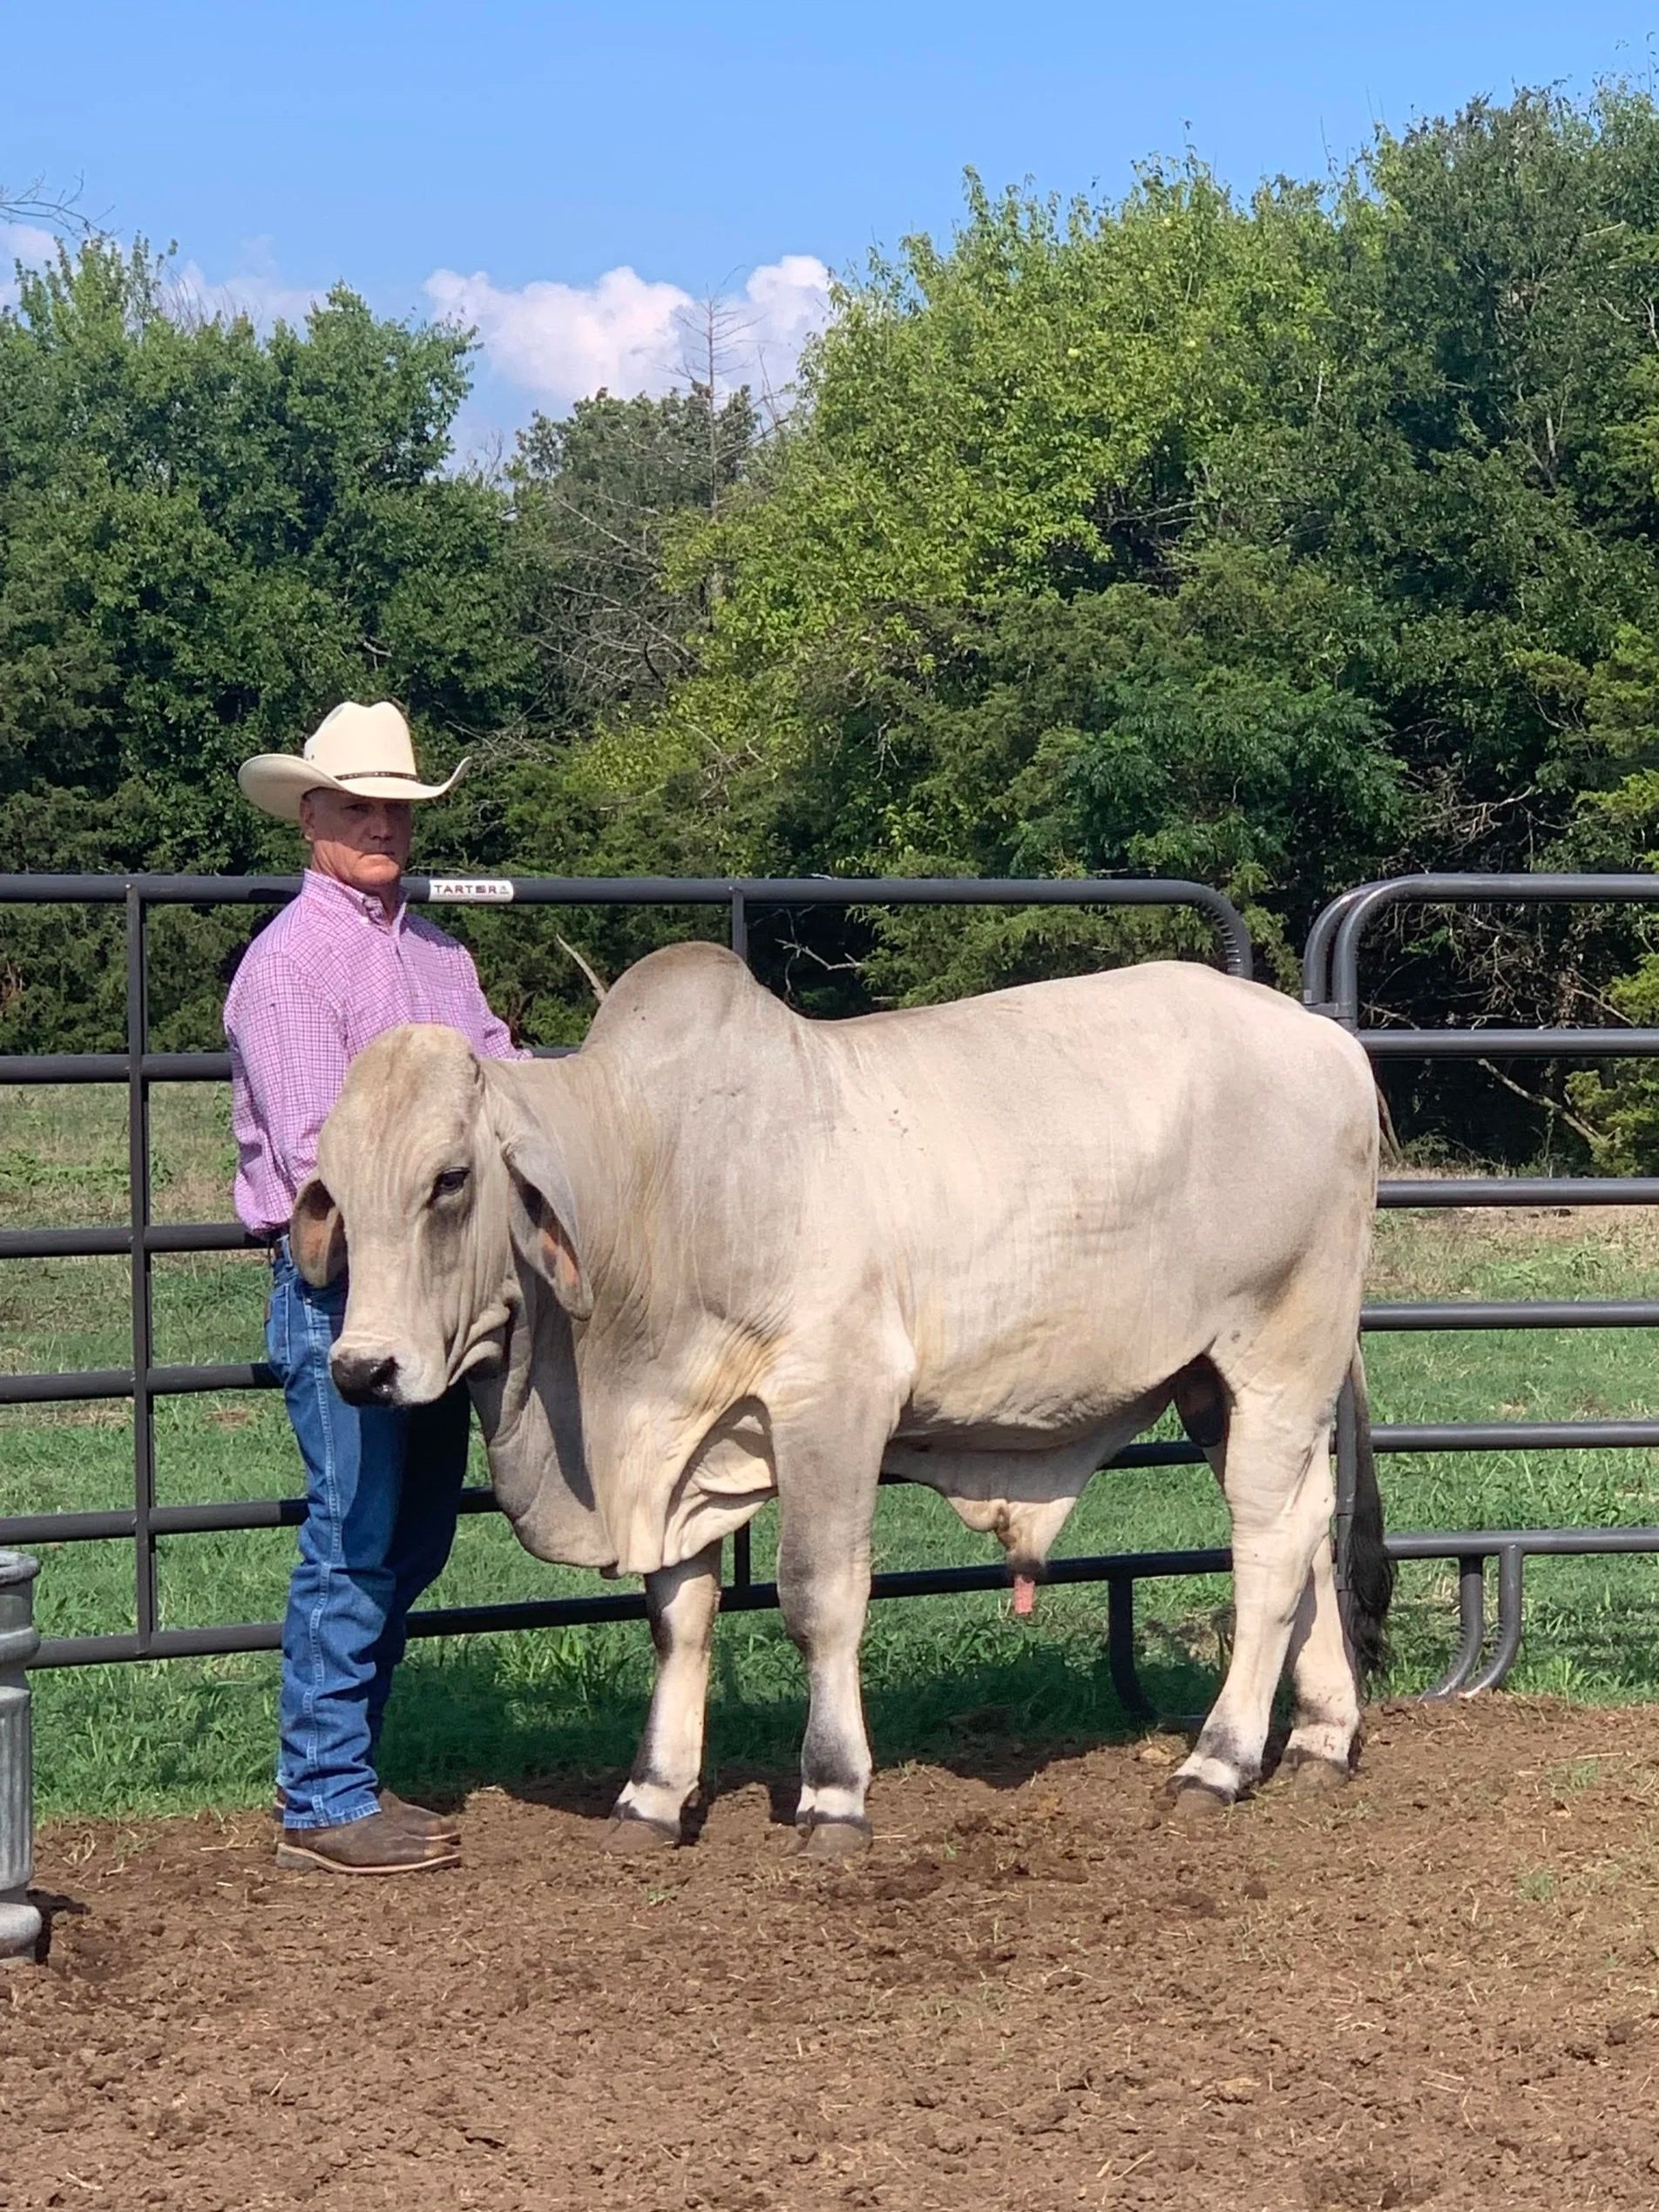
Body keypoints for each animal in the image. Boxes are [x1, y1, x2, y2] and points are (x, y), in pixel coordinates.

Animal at [290, 943, 1391, 1855]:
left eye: (450, 1178)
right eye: (330, 1187)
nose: (362, 1369)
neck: (656, 1183)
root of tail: (1323, 1037)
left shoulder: (833, 1402)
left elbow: (817, 1597)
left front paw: (830, 1792)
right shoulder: (680, 1437)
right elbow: (678, 1616)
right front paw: (652, 1794)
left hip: (1276, 1353)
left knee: (1266, 1544)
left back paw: (1217, 1759)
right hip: (1212, 1383)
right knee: (1308, 1528)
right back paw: (1318, 1738)